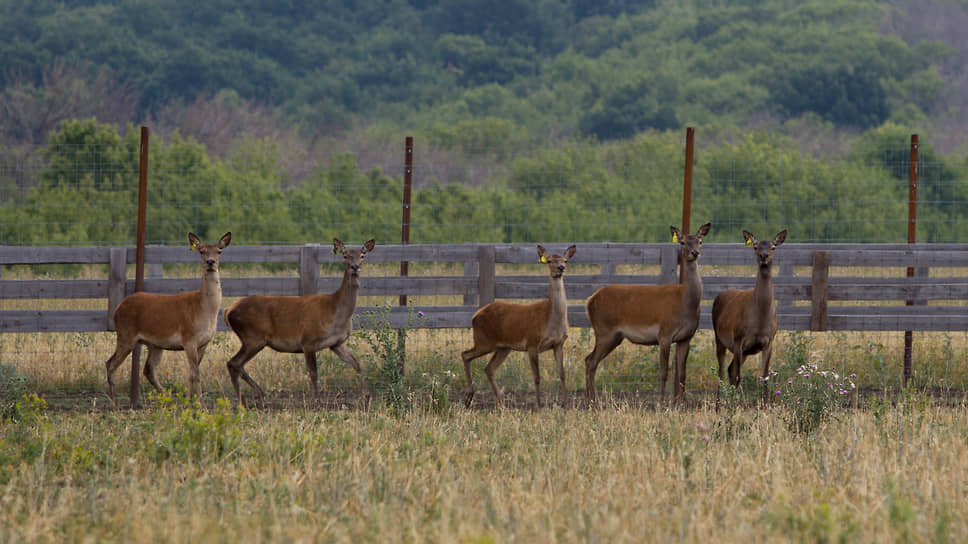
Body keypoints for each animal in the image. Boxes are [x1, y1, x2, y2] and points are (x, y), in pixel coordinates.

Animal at [105, 230, 233, 408]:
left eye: (219, 251)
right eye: (201, 251)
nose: (210, 262)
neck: (205, 310)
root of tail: (118, 308)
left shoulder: (203, 342)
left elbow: (192, 373)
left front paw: (189, 402)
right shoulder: (188, 337)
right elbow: (196, 374)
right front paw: (201, 405)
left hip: (153, 344)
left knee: (148, 369)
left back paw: (168, 400)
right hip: (125, 334)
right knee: (110, 363)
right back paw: (115, 404)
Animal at [223, 236, 374, 406]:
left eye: (362, 255)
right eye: (345, 255)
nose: (355, 267)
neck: (335, 313)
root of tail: (228, 310)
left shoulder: (337, 343)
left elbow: (357, 363)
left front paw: (367, 396)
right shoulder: (308, 341)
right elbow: (314, 373)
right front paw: (317, 401)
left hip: (252, 340)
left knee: (235, 364)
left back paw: (249, 397)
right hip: (253, 337)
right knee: (234, 363)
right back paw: (248, 398)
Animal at [462, 243, 576, 408]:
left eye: (565, 260)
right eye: (549, 261)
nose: (561, 268)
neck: (551, 320)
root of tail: (475, 315)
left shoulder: (558, 343)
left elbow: (562, 374)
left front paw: (565, 404)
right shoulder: (532, 343)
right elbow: (537, 377)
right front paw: (538, 405)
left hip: (503, 347)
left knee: (489, 368)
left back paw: (501, 403)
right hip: (483, 341)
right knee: (465, 355)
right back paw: (469, 397)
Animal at [584, 222, 712, 404]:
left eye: (700, 241)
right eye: (682, 242)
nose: (695, 253)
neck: (685, 303)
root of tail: (589, 301)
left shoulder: (686, 337)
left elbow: (682, 373)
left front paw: (681, 403)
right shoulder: (664, 334)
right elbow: (664, 372)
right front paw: (661, 402)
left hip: (614, 336)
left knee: (589, 360)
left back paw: (591, 399)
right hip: (604, 330)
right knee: (591, 361)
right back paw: (592, 401)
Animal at [712, 227, 788, 394]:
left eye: (773, 247)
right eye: (755, 246)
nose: (763, 256)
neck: (759, 321)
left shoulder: (769, 341)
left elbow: (765, 377)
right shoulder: (739, 339)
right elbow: (738, 376)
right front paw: (734, 401)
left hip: (743, 351)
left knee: (729, 369)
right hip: (719, 338)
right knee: (721, 372)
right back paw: (720, 401)